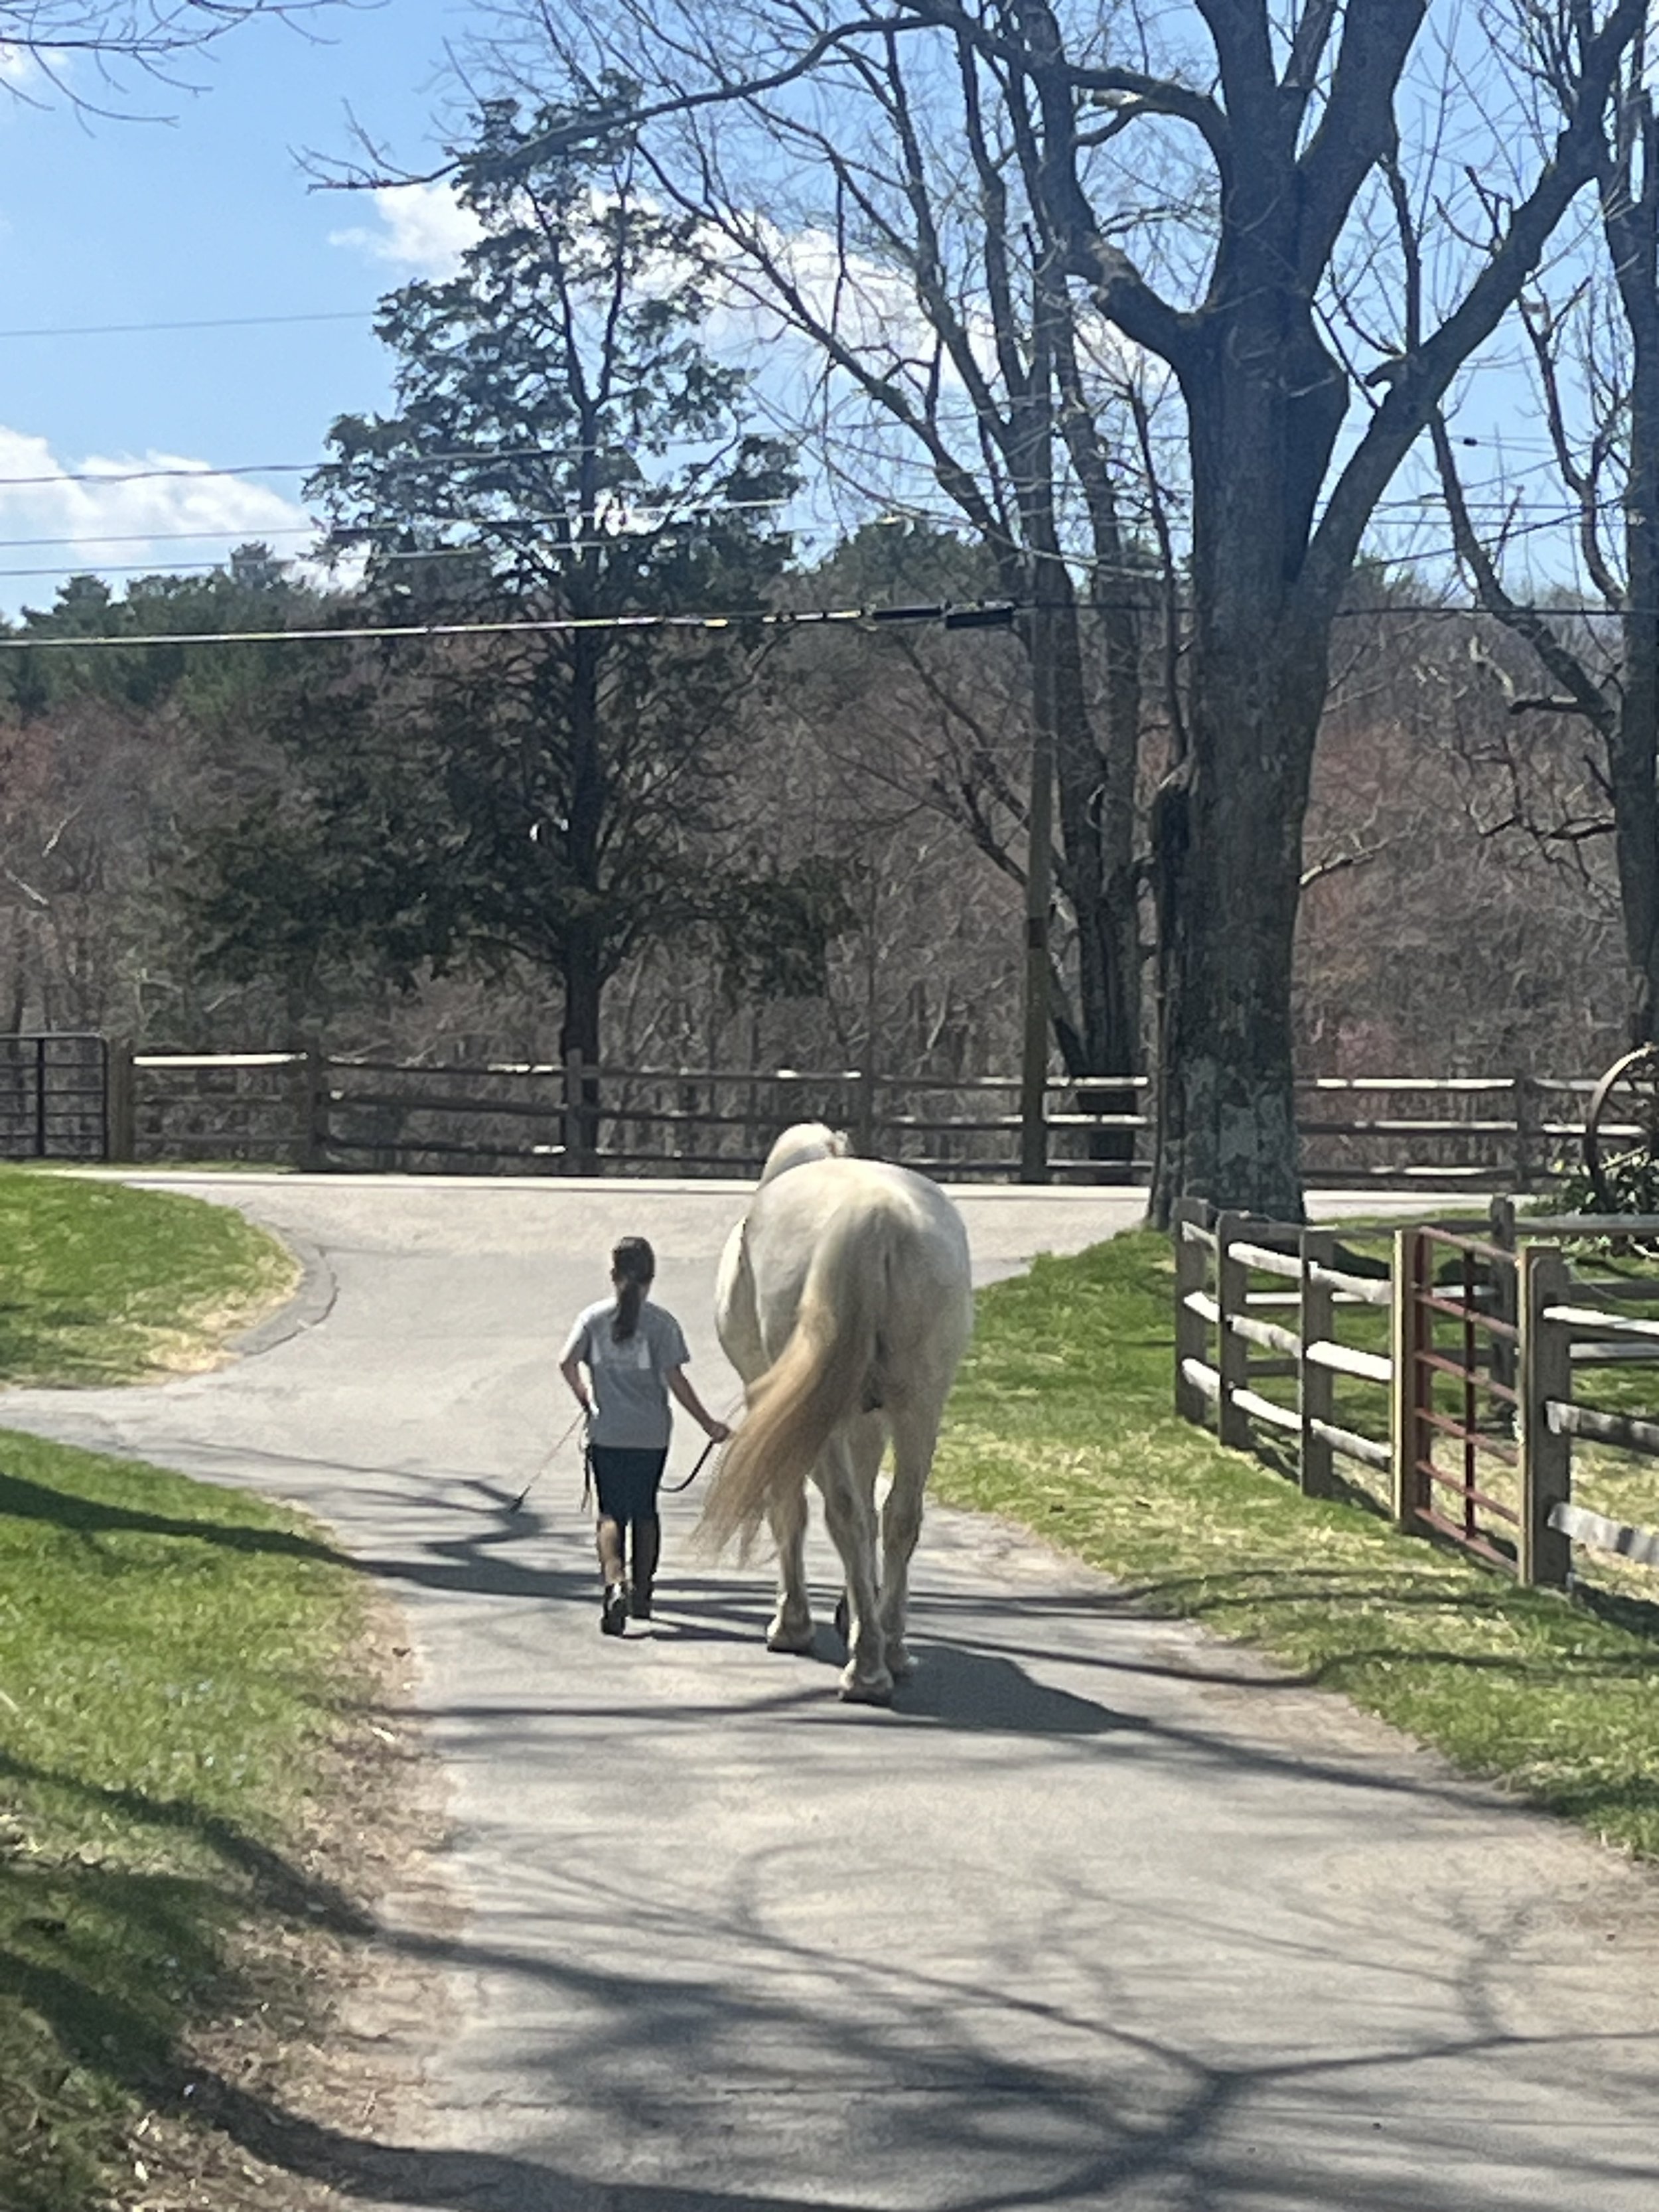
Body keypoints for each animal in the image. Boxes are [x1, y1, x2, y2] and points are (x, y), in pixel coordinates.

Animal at [702, 1122, 974, 1704]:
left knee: (843, 1515)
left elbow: (791, 1506)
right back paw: (890, 1645)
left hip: (828, 1418)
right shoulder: (867, 1421)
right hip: (921, 1406)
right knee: (900, 1515)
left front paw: (793, 1623)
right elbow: (875, 1514)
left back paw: (866, 1667)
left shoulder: (777, 1404)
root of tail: (877, 1217)